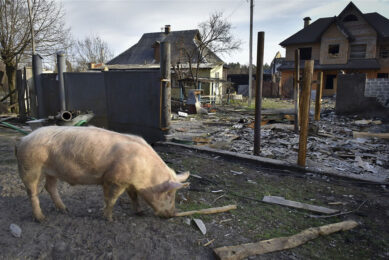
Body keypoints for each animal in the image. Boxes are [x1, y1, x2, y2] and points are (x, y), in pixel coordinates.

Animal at [15, 126, 189, 221]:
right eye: (169, 195)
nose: (172, 214)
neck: (146, 172)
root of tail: (23, 139)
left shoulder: (128, 182)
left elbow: (133, 196)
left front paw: (140, 213)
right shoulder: (115, 179)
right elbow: (111, 199)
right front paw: (110, 219)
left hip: (52, 171)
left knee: (50, 187)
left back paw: (65, 210)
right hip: (30, 167)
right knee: (32, 192)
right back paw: (41, 219)